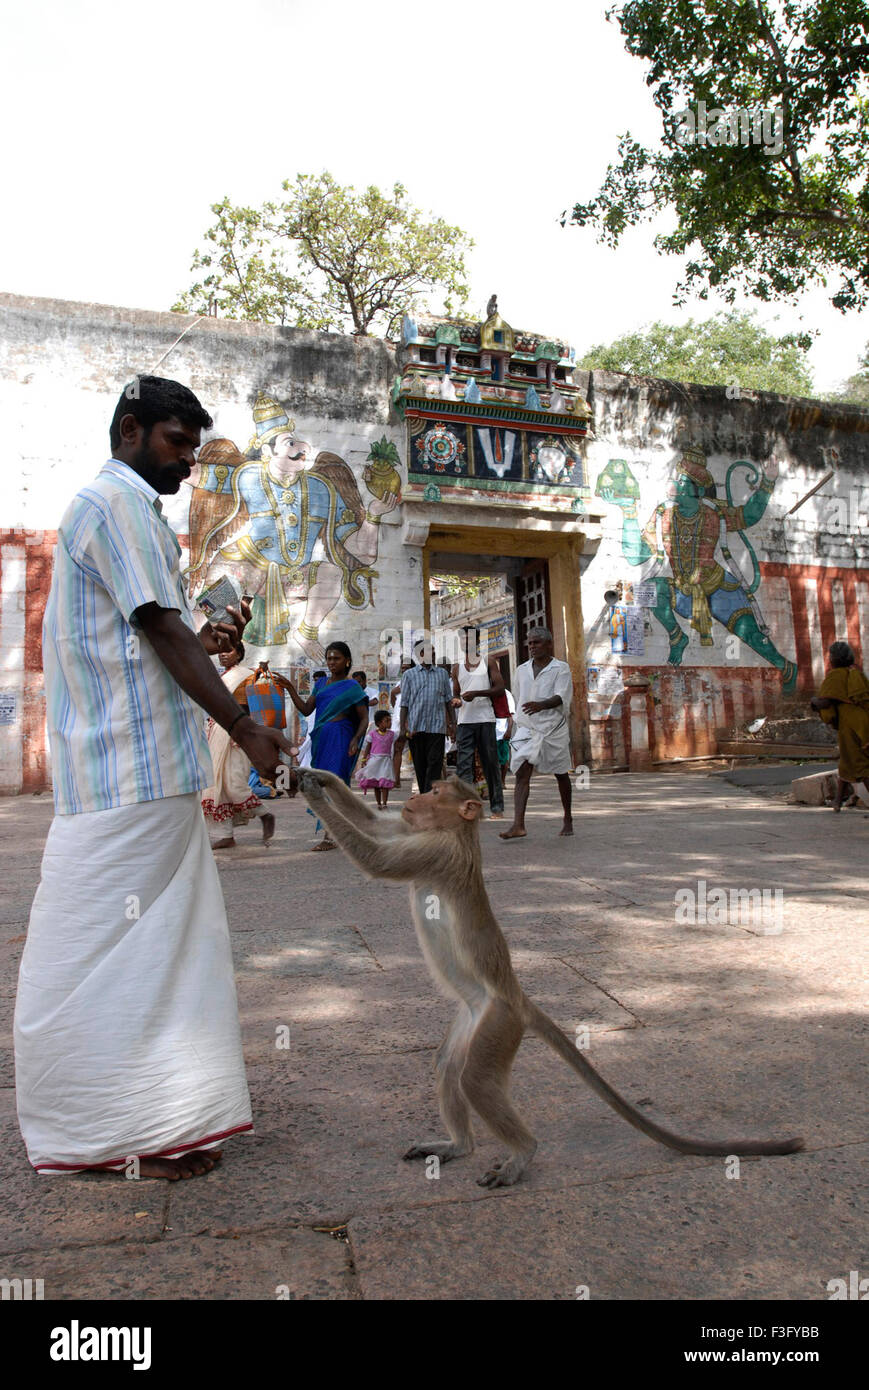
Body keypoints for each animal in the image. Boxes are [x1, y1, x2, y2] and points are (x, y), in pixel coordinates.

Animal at [300, 767, 806, 1189]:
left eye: (437, 793)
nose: (413, 796)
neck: (455, 833)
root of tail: (517, 996)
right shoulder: (415, 832)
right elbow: (374, 823)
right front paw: (318, 776)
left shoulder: (434, 852)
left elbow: (376, 859)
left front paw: (313, 793)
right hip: (475, 1016)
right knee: (450, 1066)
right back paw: (459, 1145)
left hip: (498, 1025)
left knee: (475, 1079)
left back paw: (522, 1154)